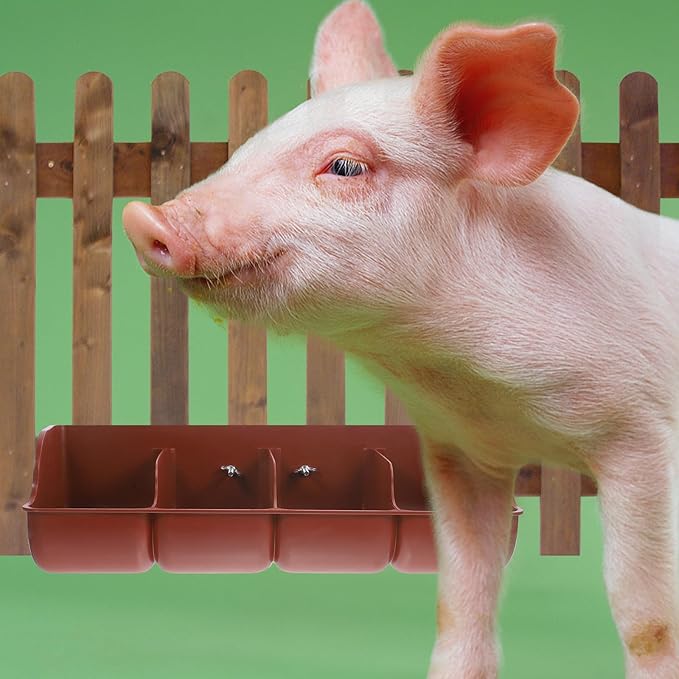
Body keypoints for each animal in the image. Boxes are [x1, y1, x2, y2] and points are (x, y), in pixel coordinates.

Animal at [122, 1, 679, 677]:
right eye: (251, 144)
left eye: (345, 165)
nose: (143, 217)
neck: (478, 388)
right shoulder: (460, 449)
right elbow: (462, 598)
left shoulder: (643, 437)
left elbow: (646, 618)